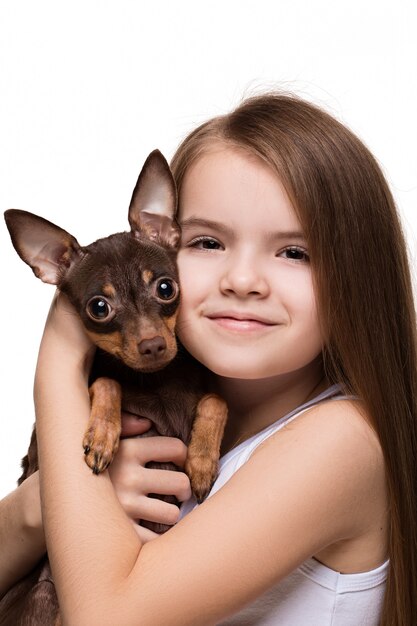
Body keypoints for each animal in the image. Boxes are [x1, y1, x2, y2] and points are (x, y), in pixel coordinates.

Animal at [0, 151, 228, 624]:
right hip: (45, 595)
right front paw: (102, 434)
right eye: (99, 308)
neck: (156, 380)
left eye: (166, 287)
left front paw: (201, 461)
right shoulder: (40, 452)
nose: (154, 345)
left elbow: (216, 399)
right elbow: (106, 380)